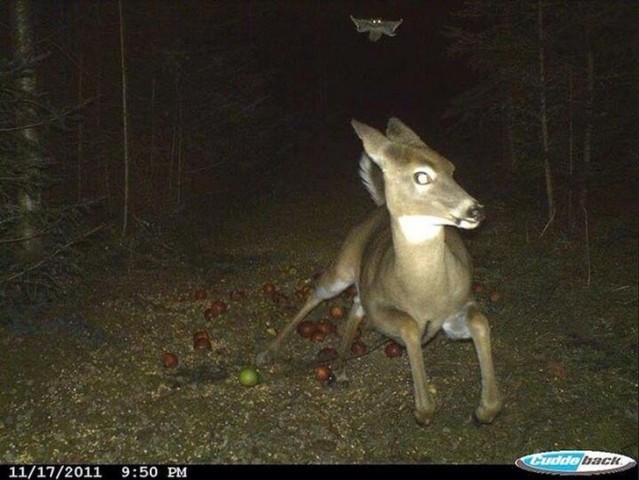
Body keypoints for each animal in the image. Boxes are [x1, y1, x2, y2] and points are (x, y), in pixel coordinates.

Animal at [258, 118, 502, 426]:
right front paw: (423, 410)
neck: (424, 293)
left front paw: (484, 410)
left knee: (355, 305)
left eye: (451, 168)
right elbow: (409, 326)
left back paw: (340, 368)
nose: (476, 210)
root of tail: (379, 207)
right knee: (319, 293)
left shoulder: (458, 306)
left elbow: (480, 322)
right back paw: (267, 353)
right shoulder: (380, 310)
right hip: (343, 265)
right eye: (421, 176)